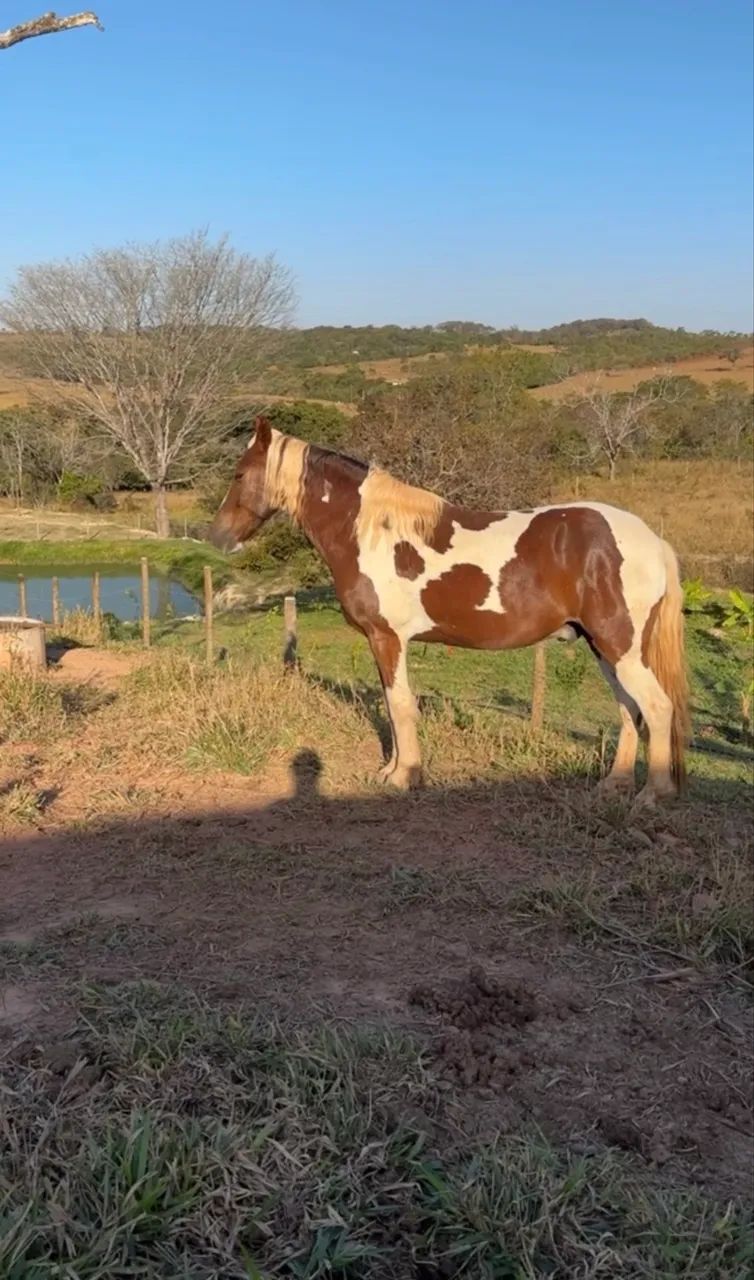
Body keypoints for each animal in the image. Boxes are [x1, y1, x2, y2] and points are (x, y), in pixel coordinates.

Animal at [209, 417, 689, 803]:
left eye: (239, 473)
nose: (217, 536)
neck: (372, 531)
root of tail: (651, 539)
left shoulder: (388, 639)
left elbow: (400, 704)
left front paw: (405, 775)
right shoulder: (386, 642)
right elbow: (392, 705)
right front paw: (394, 769)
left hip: (620, 648)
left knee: (656, 707)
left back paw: (652, 795)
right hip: (604, 648)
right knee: (629, 710)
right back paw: (615, 784)